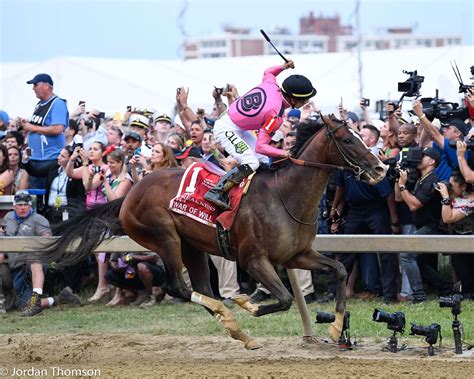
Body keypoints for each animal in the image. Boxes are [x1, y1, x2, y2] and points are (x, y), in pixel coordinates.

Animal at [42, 115, 386, 350]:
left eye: (361, 135)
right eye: (348, 140)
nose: (381, 168)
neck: (285, 195)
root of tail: (129, 194)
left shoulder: (298, 255)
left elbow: (339, 269)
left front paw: (336, 327)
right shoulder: (254, 260)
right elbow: (286, 298)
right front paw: (248, 303)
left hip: (192, 247)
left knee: (200, 289)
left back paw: (240, 332)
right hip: (165, 237)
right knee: (180, 288)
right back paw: (231, 316)